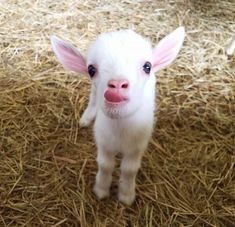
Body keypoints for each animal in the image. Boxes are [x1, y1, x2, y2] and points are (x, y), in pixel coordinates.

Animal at [51, 27, 185, 206]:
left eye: (147, 67)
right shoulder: (103, 142)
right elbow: (105, 165)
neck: (120, 131)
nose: (117, 85)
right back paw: (86, 118)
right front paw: (101, 190)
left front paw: (126, 195)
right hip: (94, 91)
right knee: (93, 98)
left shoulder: (137, 147)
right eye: (91, 70)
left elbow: (129, 170)